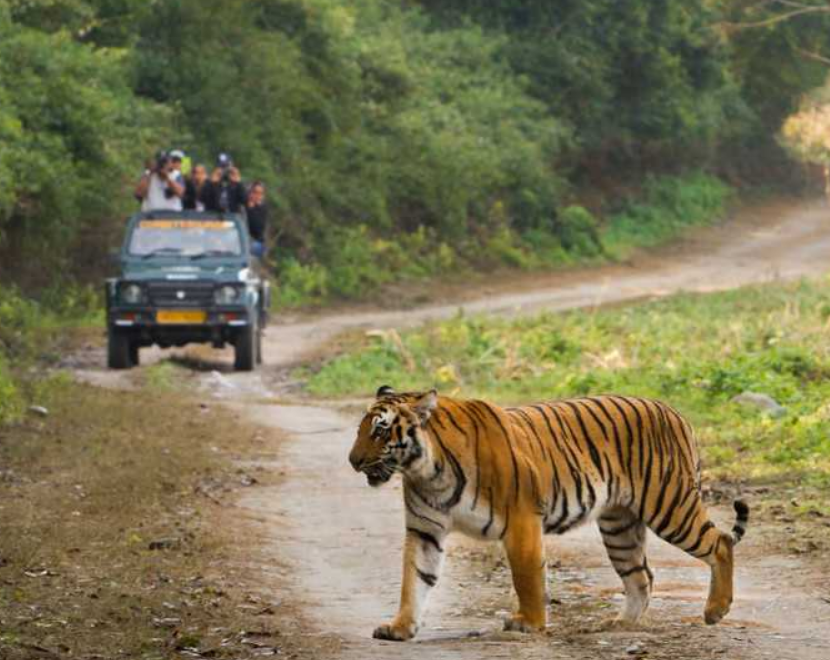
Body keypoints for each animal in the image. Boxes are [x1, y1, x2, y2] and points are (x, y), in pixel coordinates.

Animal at [348, 386, 749, 641]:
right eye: (361, 430)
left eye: (381, 431)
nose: (353, 461)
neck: (426, 470)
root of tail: (675, 412)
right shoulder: (424, 530)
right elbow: (414, 579)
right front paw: (400, 628)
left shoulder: (521, 518)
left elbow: (526, 576)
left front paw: (529, 623)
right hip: (619, 525)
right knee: (642, 576)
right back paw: (619, 625)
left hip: (669, 505)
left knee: (720, 542)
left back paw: (715, 610)